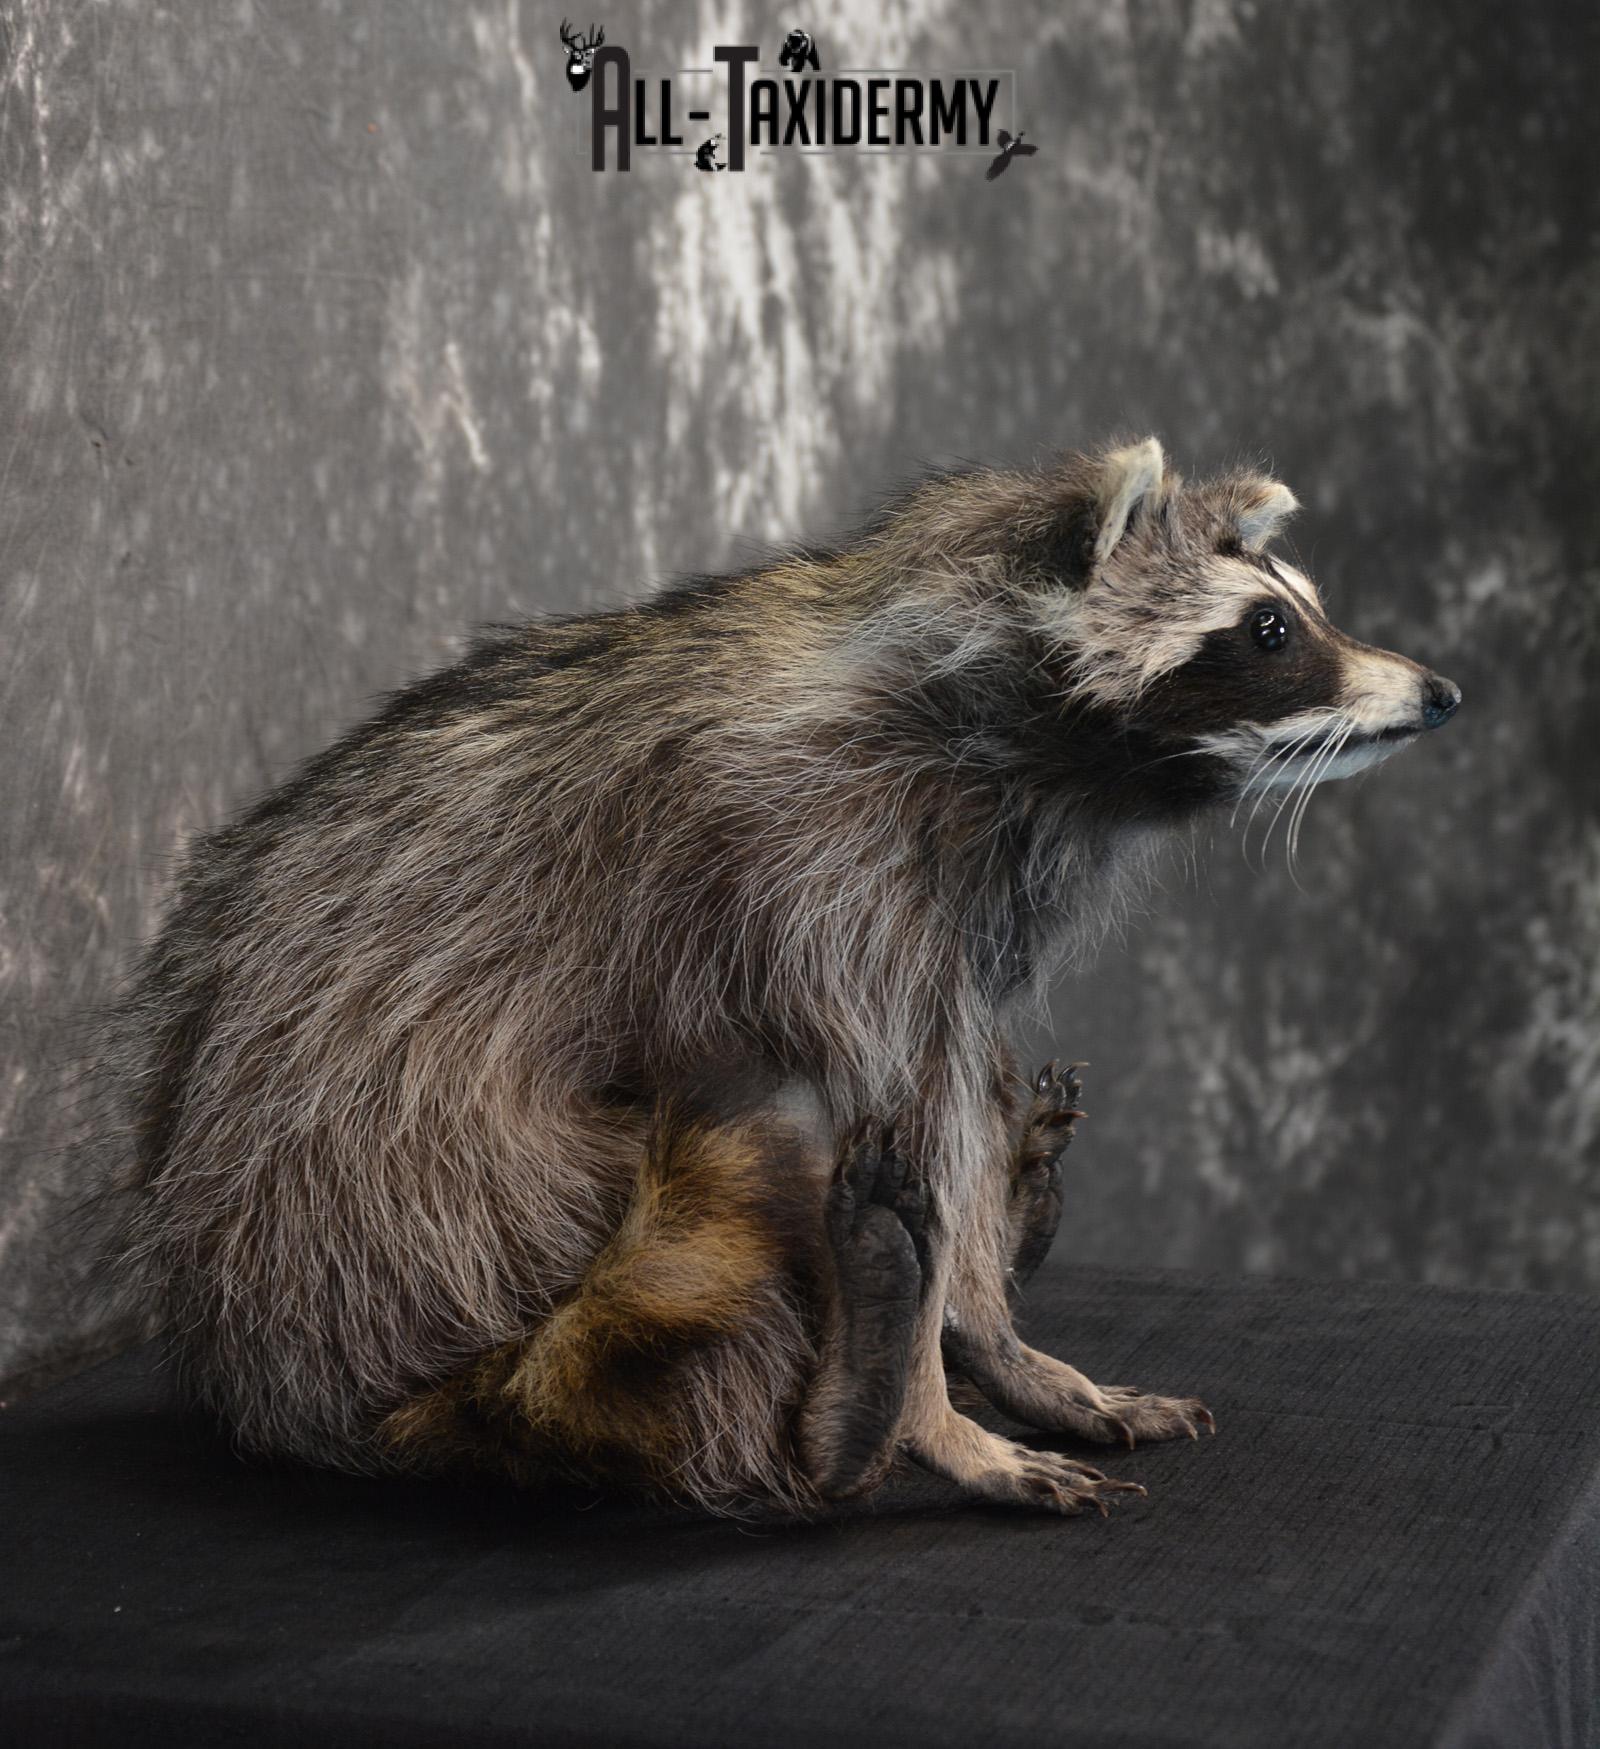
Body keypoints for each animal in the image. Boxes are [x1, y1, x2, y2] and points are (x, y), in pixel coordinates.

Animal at [113, 438, 1459, 1517]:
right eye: (1269, 632)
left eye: (1306, 611)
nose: (1440, 691)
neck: (1013, 743)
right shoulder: (801, 861)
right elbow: (886, 1104)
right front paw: (939, 1411)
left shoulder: (950, 911)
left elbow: (950, 1097)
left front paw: (999, 1339)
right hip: (447, 1225)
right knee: (726, 1220)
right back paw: (839, 1417)